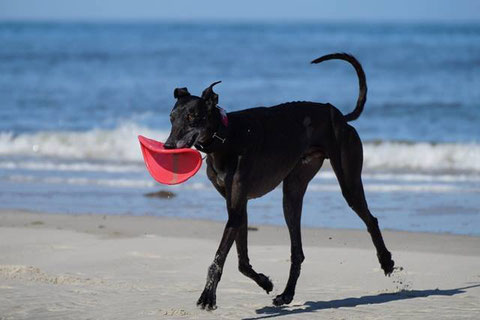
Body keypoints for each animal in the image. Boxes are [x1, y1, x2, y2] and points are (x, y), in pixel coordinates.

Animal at [163, 53, 396, 310]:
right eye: (171, 117)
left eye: (192, 116)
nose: (167, 146)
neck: (226, 136)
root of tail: (338, 115)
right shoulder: (238, 206)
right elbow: (242, 261)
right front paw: (265, 282)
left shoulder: (236, 206)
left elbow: (219, 257)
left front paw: (208, 296)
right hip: (293, 192)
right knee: (297, 251)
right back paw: (286, 294)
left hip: (348, 180)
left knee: (370, 219)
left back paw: (386, 261)